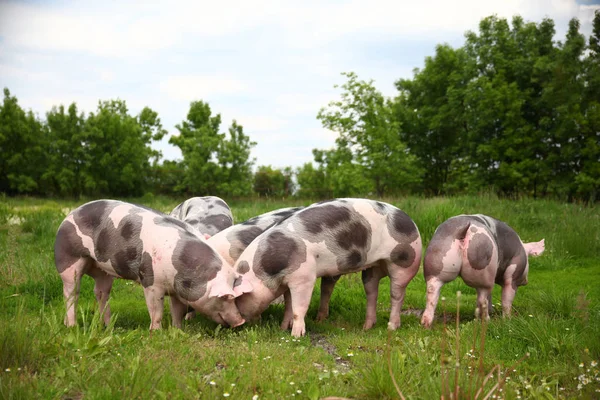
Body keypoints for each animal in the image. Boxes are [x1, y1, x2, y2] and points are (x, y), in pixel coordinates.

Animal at [54, 198, 253, 330]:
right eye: (225, 297)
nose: (240, 321)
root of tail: (70, 214)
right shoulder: (150, 281)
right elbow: (156, 309)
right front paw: (156, 332)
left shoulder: (177, 290)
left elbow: (177, 310)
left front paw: (178, 330)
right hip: (68, 258)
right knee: (71, 292)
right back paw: (71, 326)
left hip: (103, 270)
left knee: (101, 293)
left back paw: (109, 326)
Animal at [231, 198, 422, 336]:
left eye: (238, 298)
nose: (234, 324)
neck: (267, 273)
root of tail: (411, 221)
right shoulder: (288, 281)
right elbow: (289, 305)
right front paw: (282, 328)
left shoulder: (304, 276)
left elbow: (299, 308)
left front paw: (296, 336)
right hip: (372, 268)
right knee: (371, 292)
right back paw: (366, 327)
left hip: (405, 261)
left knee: (397, 294)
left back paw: (391, 327)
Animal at [420, 214, 548, 326]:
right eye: (528, 259)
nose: (526, 281)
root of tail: (461, 230)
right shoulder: (513, 277)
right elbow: (507, 299)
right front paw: (508, 320)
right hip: (482, 258)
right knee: (483, 298)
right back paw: (487, 321)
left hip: (436, 260)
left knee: (432, 291)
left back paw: (426, 323)